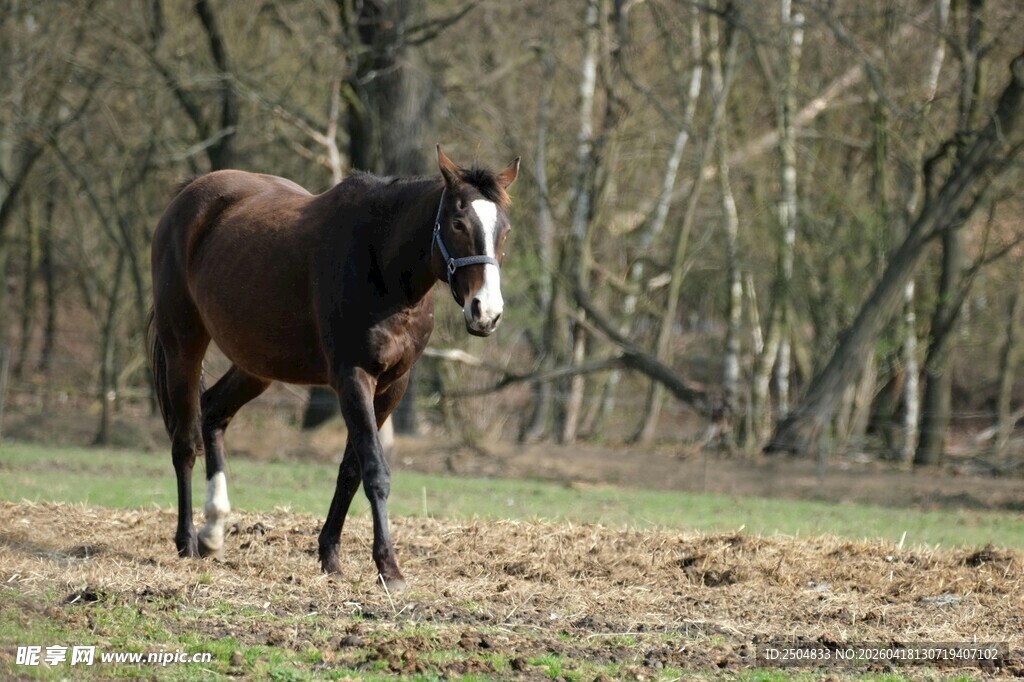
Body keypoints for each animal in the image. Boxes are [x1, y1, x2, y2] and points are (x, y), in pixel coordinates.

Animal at [147, 147, 519, 590]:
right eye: (458, 223)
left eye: (504, 230)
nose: (487, 312)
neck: (382, 263)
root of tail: (189, 195)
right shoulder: (352, 378)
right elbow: (375, 471)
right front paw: (389, 568)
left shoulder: (392, 386)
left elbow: (351, 471)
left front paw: (330, 555)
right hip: (183, 345)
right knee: (185, 441)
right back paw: (187, 540)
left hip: (257, 364)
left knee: (214, 413)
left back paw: (213, 531)